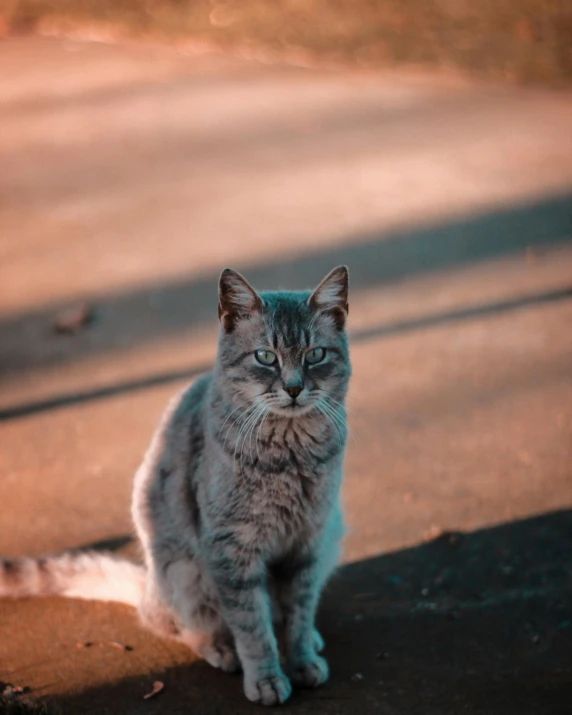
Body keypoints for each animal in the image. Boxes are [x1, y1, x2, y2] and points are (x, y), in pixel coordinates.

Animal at [0, 268, 350, 704]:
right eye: (265, 357)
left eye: (315, 355)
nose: (294, 387)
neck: (291, 455)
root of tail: (149, 585)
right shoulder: (231, 549)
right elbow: (252, 624)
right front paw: (266, 677)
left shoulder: (309, 543)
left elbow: (299, 614)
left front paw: (302, 659)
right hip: (185, 573)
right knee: (172, 623)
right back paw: (220, 649)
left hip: (332, 536)